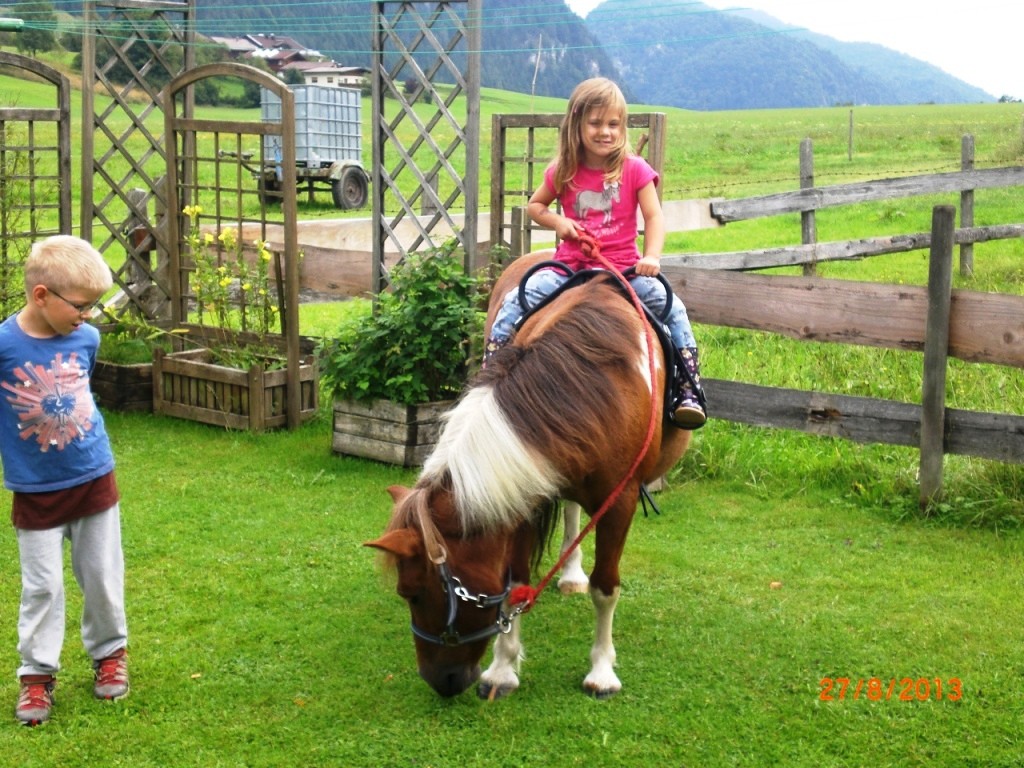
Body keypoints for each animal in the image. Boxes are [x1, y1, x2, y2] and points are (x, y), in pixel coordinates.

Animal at [364, 253, 692, 704]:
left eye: (412, 593)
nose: (439, 681)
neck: (589, 382)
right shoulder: (520, 494)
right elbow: (514, 583)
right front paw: (502, 670)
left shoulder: (620, 500)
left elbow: (606, 588)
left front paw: (602, 672)